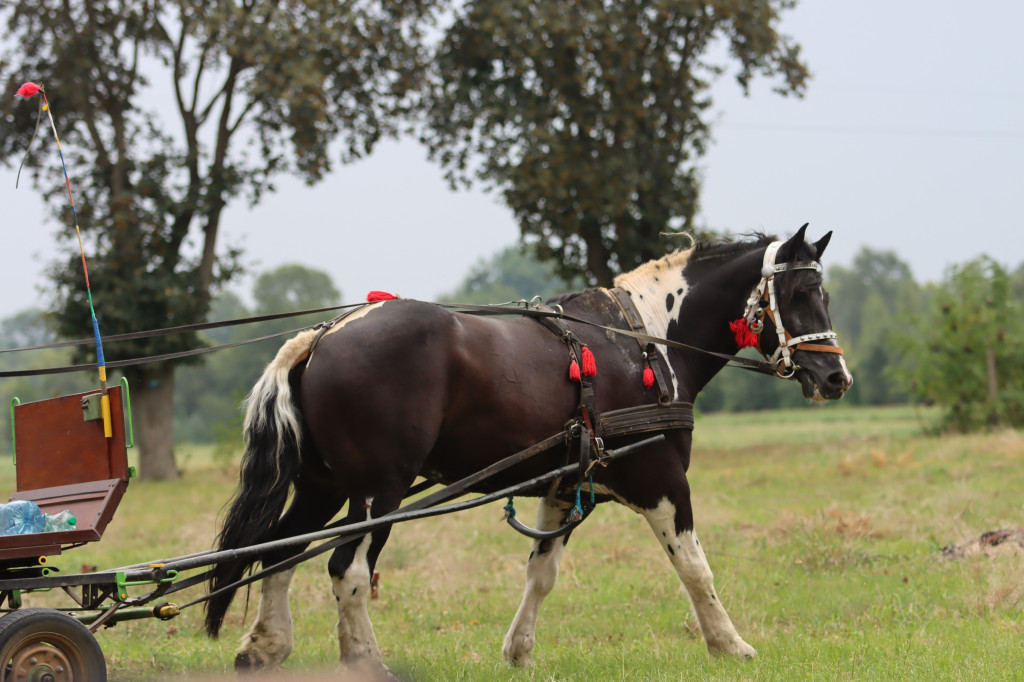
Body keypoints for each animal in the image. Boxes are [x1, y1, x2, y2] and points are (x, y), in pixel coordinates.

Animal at [203, 225, 851, 671]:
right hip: (376, 492)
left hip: (324, 484)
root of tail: (324, 336)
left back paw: (265, 646)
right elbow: (695, 567)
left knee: (282, 550)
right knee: (348, 570)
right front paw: (729, 644)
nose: (836, 378)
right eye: (800, 292)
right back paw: (364, 661)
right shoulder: (659, 479)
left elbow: (542, 573)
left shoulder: (566, 486)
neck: (643, 342)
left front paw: (518, 651)